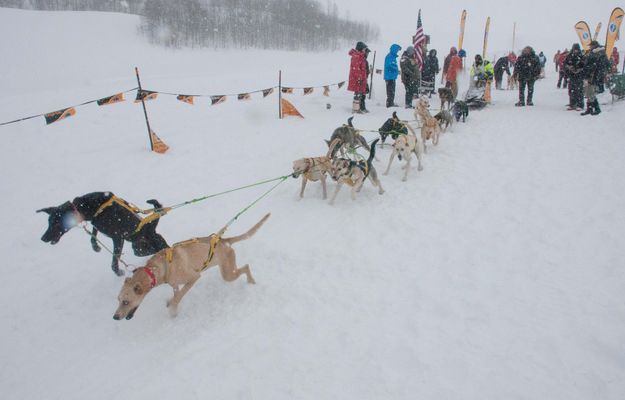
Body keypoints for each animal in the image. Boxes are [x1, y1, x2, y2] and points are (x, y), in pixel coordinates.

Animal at [39, 193, 171, 276]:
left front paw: (118, 272)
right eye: (49, 222)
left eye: (55, 223)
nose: (43, 238)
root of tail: (151, 227)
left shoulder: (118, 238)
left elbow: (114, 261)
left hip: (152, 244)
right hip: (139, 249)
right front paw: (95, 247)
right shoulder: (96, 224)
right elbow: (93, 234)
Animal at [113, 214, 270, 320]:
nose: (115, 317)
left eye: (126, 302)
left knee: (246, 267)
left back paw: (251, 281)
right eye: (118, 300)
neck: (159, 268)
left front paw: (173, 309)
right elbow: (176, 293)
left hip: (228, 274)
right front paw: (171, 302)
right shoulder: (174, 284)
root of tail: (224, 241)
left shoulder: (194, 277)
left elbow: (179, 296)